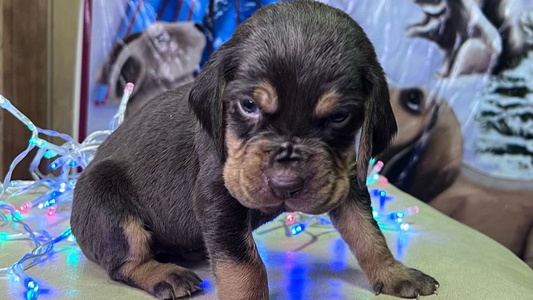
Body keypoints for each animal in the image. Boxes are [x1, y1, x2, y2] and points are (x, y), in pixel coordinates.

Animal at [69, 1, 436, 298]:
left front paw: (394, 273)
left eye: (339, 117)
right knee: (125, 263)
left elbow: (368, 234)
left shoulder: (344, 180)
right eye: (248, 105)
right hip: (107, 202)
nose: (286, 185)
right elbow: (245, 267)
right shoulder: (218, 196)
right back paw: (163, 274)